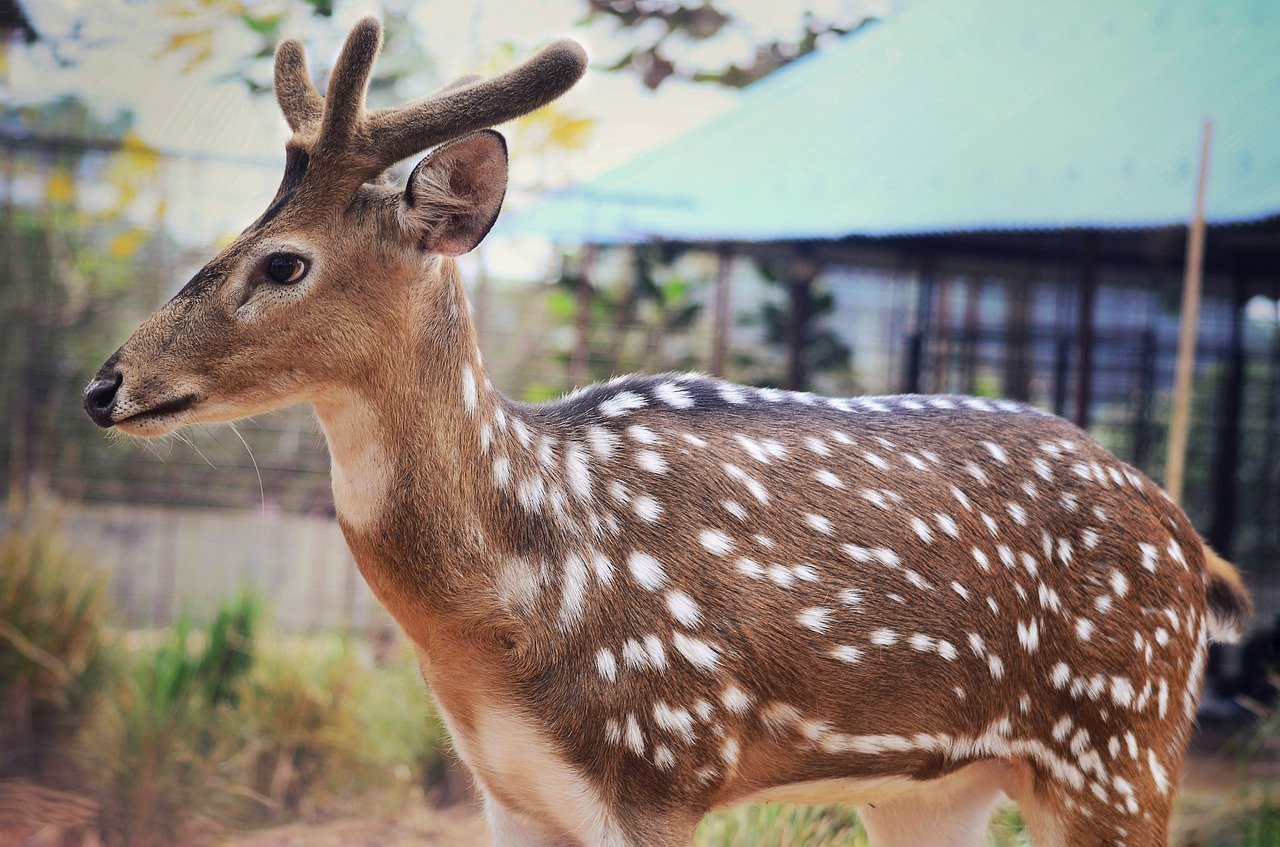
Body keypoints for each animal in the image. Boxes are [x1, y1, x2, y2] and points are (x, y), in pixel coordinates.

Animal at [82, 17, 1252, 847]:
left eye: (283, 262)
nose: (106, 384)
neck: (516, 607)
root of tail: (1198, 550)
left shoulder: (661, 758)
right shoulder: (510, 794)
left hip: (1122, 743)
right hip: (938, 788)